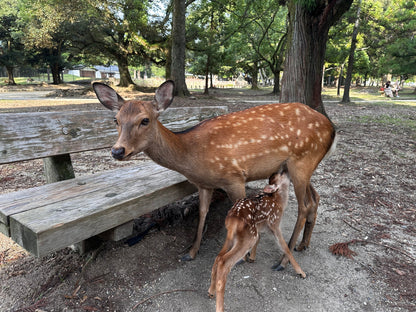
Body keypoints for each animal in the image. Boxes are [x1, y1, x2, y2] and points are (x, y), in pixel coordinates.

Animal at [92, 80, 336, 266]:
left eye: (145, 120)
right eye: (116, 120)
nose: (117, 150)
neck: (192, 155)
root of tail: (332, 129)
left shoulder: (234, 177)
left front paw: (247, 256)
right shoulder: (203, 184)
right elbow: (202, 214)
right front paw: (190, 252)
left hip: (302, 161)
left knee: (305, 205)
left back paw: (284, 261)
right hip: (302, 165)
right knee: (315, 198)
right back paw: (303, 244)